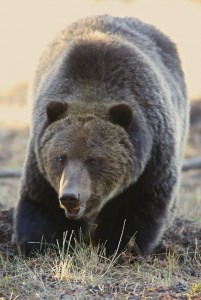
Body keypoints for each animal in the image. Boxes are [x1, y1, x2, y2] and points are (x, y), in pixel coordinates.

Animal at [13, 15, 188, 255]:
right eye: (60, 158)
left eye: (93, 160)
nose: (70, 197)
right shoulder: (40, 159)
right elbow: (41, 204)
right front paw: (39, 243)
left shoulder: (151, 164)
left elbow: (137, 212)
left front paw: (119, 247)